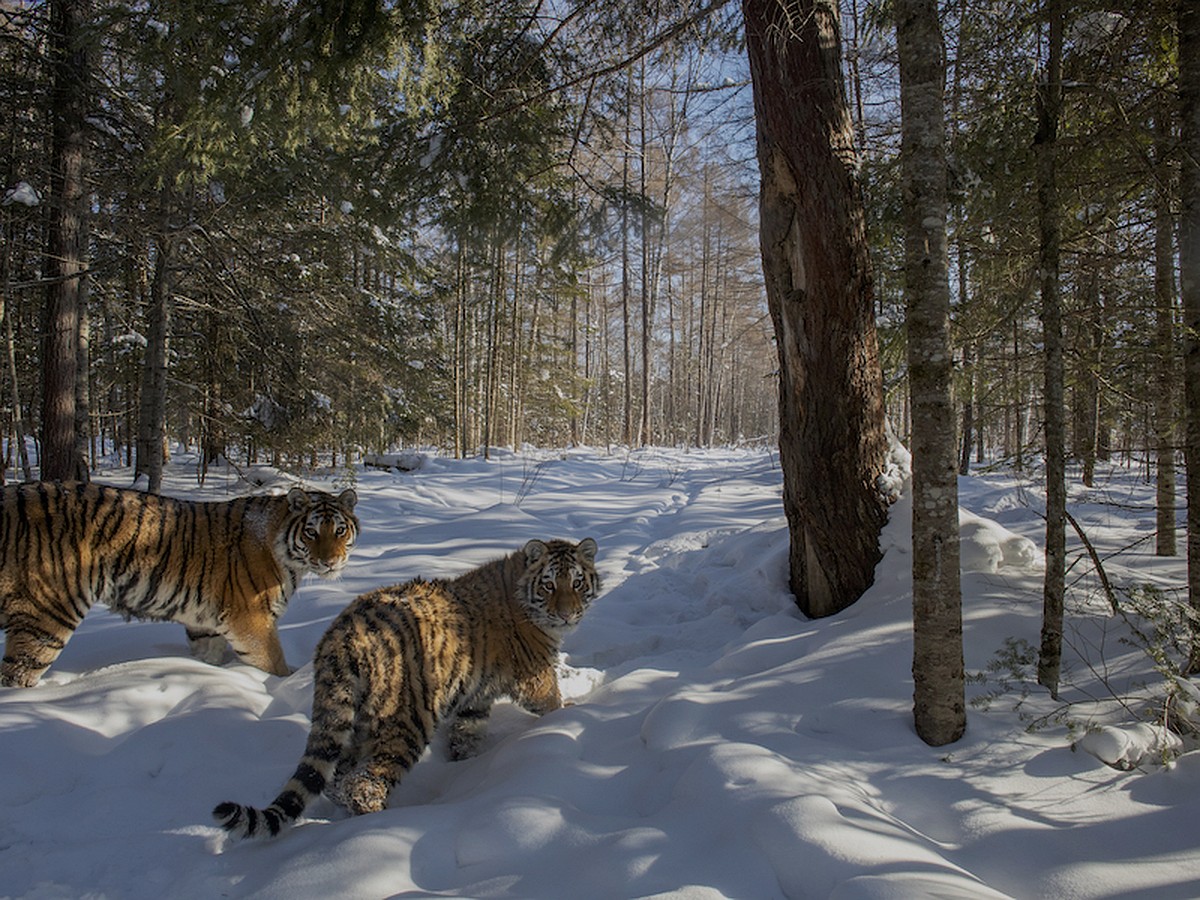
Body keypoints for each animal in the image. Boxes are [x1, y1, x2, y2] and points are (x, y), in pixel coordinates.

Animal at [0, 487, 355, 691]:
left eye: (339, 530)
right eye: (311, 532)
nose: (331, 562)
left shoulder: (206, 624)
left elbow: (208, 656)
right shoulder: (251, 620)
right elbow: (273, 664)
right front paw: (280, 685)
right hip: (48, 615)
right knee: (17, 674)